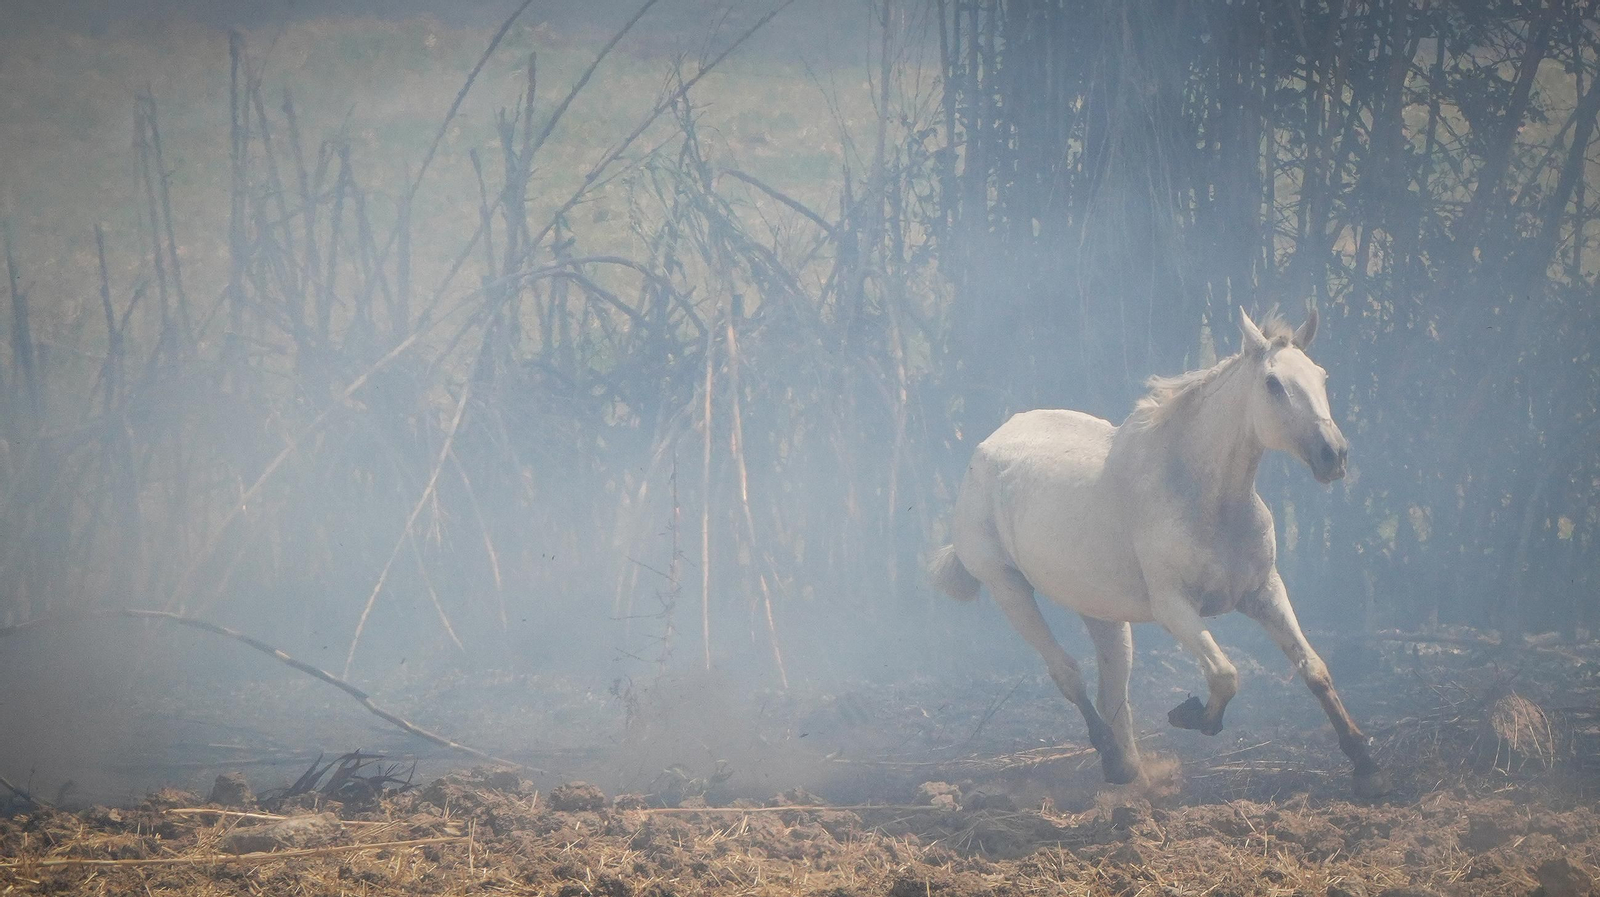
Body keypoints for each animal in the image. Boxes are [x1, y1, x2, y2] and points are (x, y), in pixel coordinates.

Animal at [929, 307, 1388, 797]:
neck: (1205, 498)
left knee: (1112, 690)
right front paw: (1194, 716)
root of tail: (985, 448)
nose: (1333, 455)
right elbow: (1224, 673)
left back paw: (1126, 768)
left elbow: (1313, 668)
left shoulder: (1263, 592)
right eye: (1273, 383)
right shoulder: (1174, 607)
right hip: (1007, 587)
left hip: (1101, 610)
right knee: (1069, 674)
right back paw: (1111, 754)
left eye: (1322, 377)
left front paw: (1365, 763)